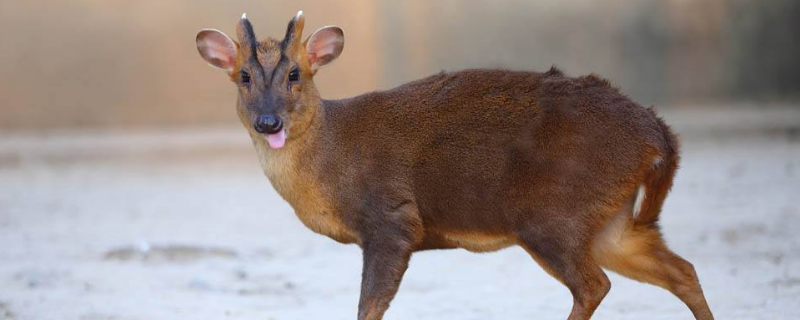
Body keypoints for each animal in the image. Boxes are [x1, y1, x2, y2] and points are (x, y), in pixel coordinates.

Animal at [197, 10, 716, 320]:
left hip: (552, 213)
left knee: (595, 284)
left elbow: (369, 306)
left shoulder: (392, 219)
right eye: (244, 76)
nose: (268, 121)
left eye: (294, 74)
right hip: (609, 221)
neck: (329, 161)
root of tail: (658, 134)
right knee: (682, 269)